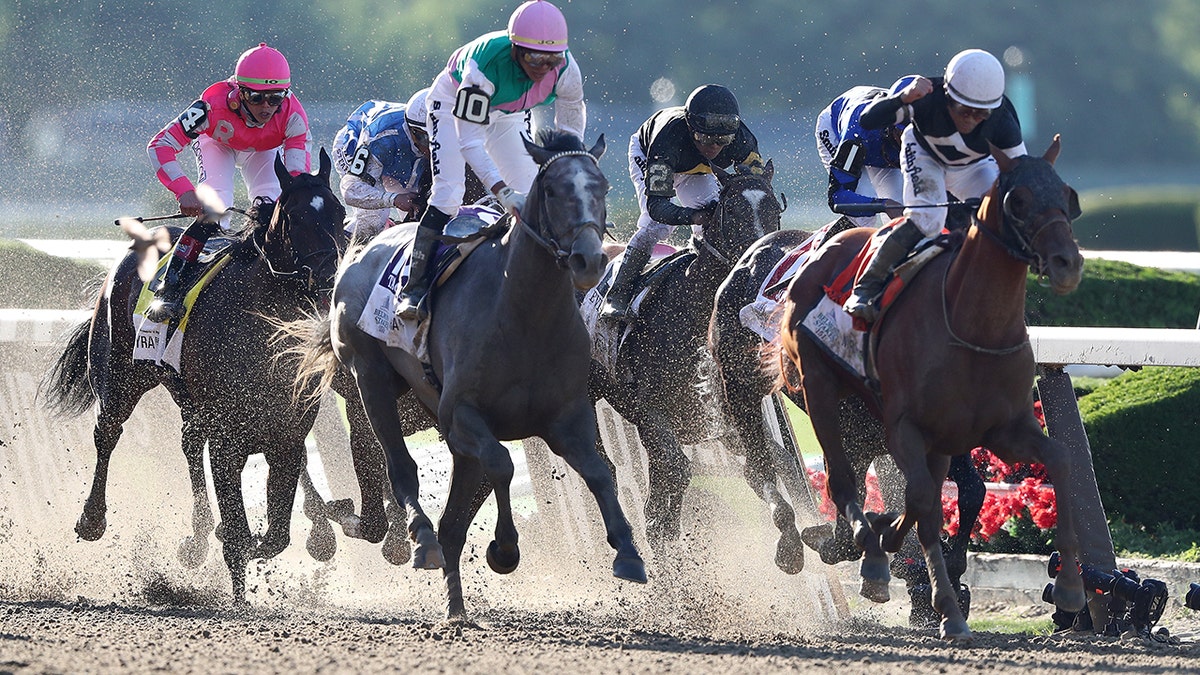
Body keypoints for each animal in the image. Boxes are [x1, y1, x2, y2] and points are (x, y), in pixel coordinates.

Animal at [777, 138, 1099, 634]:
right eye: (1018, 201)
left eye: (1068, 195)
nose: (1067, 263)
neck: (973, 326)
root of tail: (818, 253)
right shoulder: (905, 428)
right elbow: (922, 499)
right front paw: (917, 580)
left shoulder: (1003, 429)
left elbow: (1059, 462)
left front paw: (1068, 588)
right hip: (820, 389)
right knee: (842, 478)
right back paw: (868, 551)